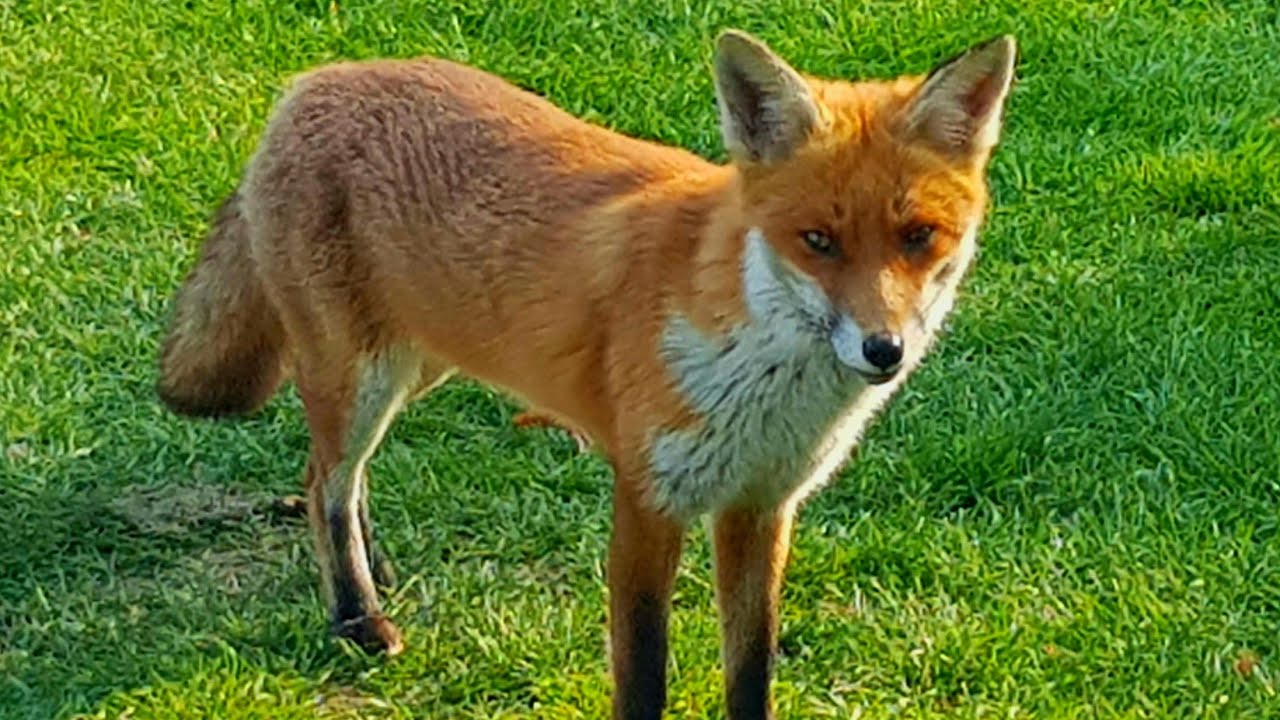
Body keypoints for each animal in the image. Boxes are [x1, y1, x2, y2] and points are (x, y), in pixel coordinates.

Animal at [156, 29, 1016, 720]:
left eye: (919, 236)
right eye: (818, 241)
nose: (883, 349)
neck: (767, 390)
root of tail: (314, 80)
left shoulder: (760, 506)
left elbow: (751, 671)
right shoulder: (647, 500)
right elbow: (644, 680)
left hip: (417, 361)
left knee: (343, 476)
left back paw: (378, 574)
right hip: (358, 373)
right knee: (322, 483)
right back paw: (356, 617)